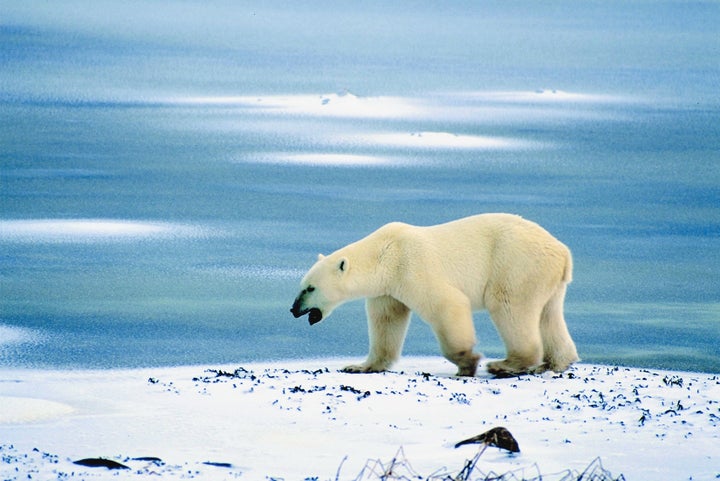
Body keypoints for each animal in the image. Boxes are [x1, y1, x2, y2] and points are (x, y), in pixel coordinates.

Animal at [290, 213, 576, 376]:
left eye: (310, 288)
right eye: (302, 285)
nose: (293, 309)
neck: (384, 253)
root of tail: (563, 252)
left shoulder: (411, 266)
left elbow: (447, 303)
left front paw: (467, 362)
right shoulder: (388, 289)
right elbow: (386, 322)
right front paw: (360, 366)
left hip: (515, 264)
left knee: (508, 305)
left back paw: (506, 364)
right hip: (545, 278)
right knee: (549, 314)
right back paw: (555, 363)